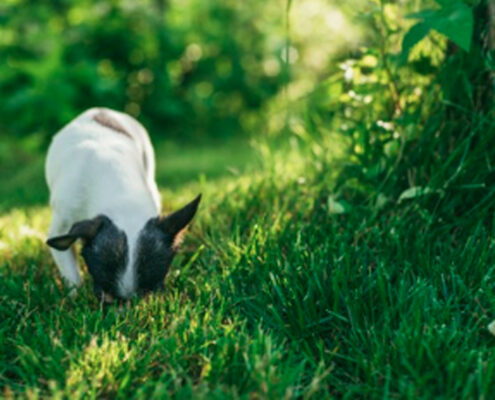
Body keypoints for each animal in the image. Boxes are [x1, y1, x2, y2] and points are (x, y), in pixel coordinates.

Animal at [45, 108, 201, 302]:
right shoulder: (62, 224)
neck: (122, 198)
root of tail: (101, 109)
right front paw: (75, 296)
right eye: (105, 298)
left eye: (151, 295)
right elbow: (71, 273)